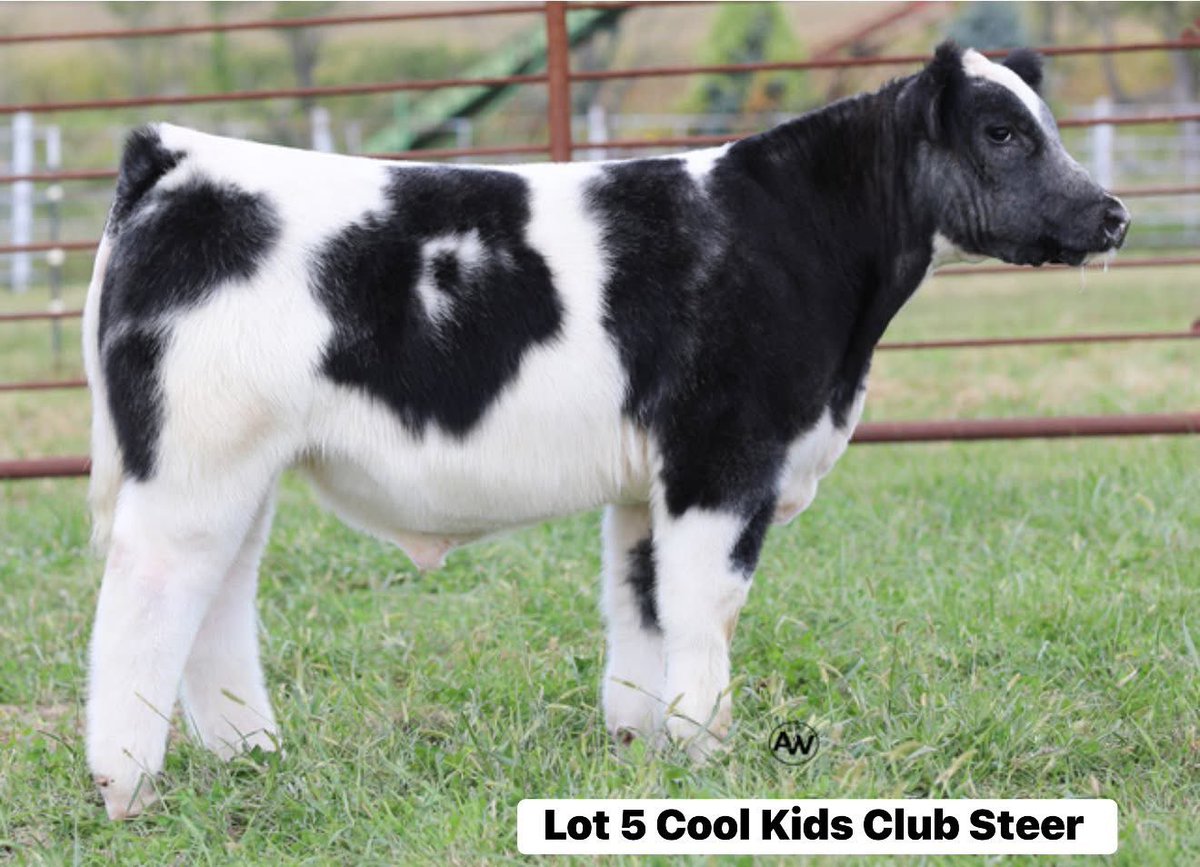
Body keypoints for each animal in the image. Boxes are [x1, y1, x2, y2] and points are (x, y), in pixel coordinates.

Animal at [82, 42, 1128, 819]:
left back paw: (250, 755)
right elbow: (708, 605)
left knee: (217, 598)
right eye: (1002, 131)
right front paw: (710, 750)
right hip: (190, 464)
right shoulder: (722, 454)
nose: (1112, 214)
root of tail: (176, 158)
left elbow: (644, 601)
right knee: (146, 600)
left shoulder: (650, 479)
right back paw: (128, 786)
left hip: (239, 467)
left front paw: (642, 742)